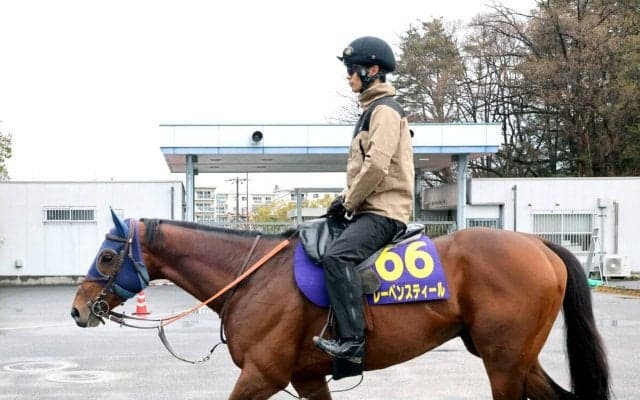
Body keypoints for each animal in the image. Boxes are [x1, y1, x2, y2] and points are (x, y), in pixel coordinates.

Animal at [70, 211, 610, 400]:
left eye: (107, 255)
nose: (77, 309)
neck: (252, 277)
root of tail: (540, 245)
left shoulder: (262, 376)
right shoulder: (307, 379)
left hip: (503, 364)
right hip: (514, 359)